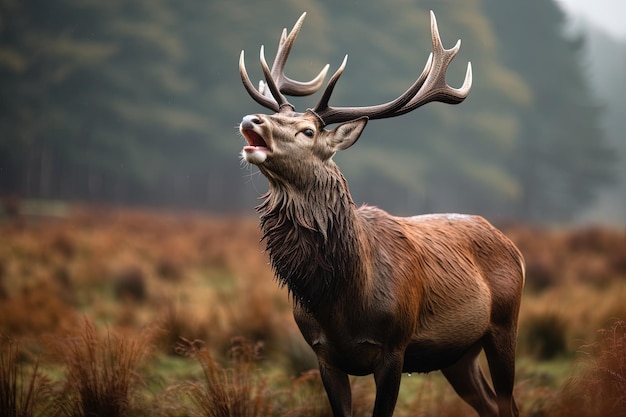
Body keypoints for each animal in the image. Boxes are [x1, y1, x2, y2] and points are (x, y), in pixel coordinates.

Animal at [234, 10, 520, 416]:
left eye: (308, 131)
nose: (252, 120)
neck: (341, 300)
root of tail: (512, 245)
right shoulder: (324, 354)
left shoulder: (394, 349)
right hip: (459, 355)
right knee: (489, 405)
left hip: (504, 326)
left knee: (508, 403)